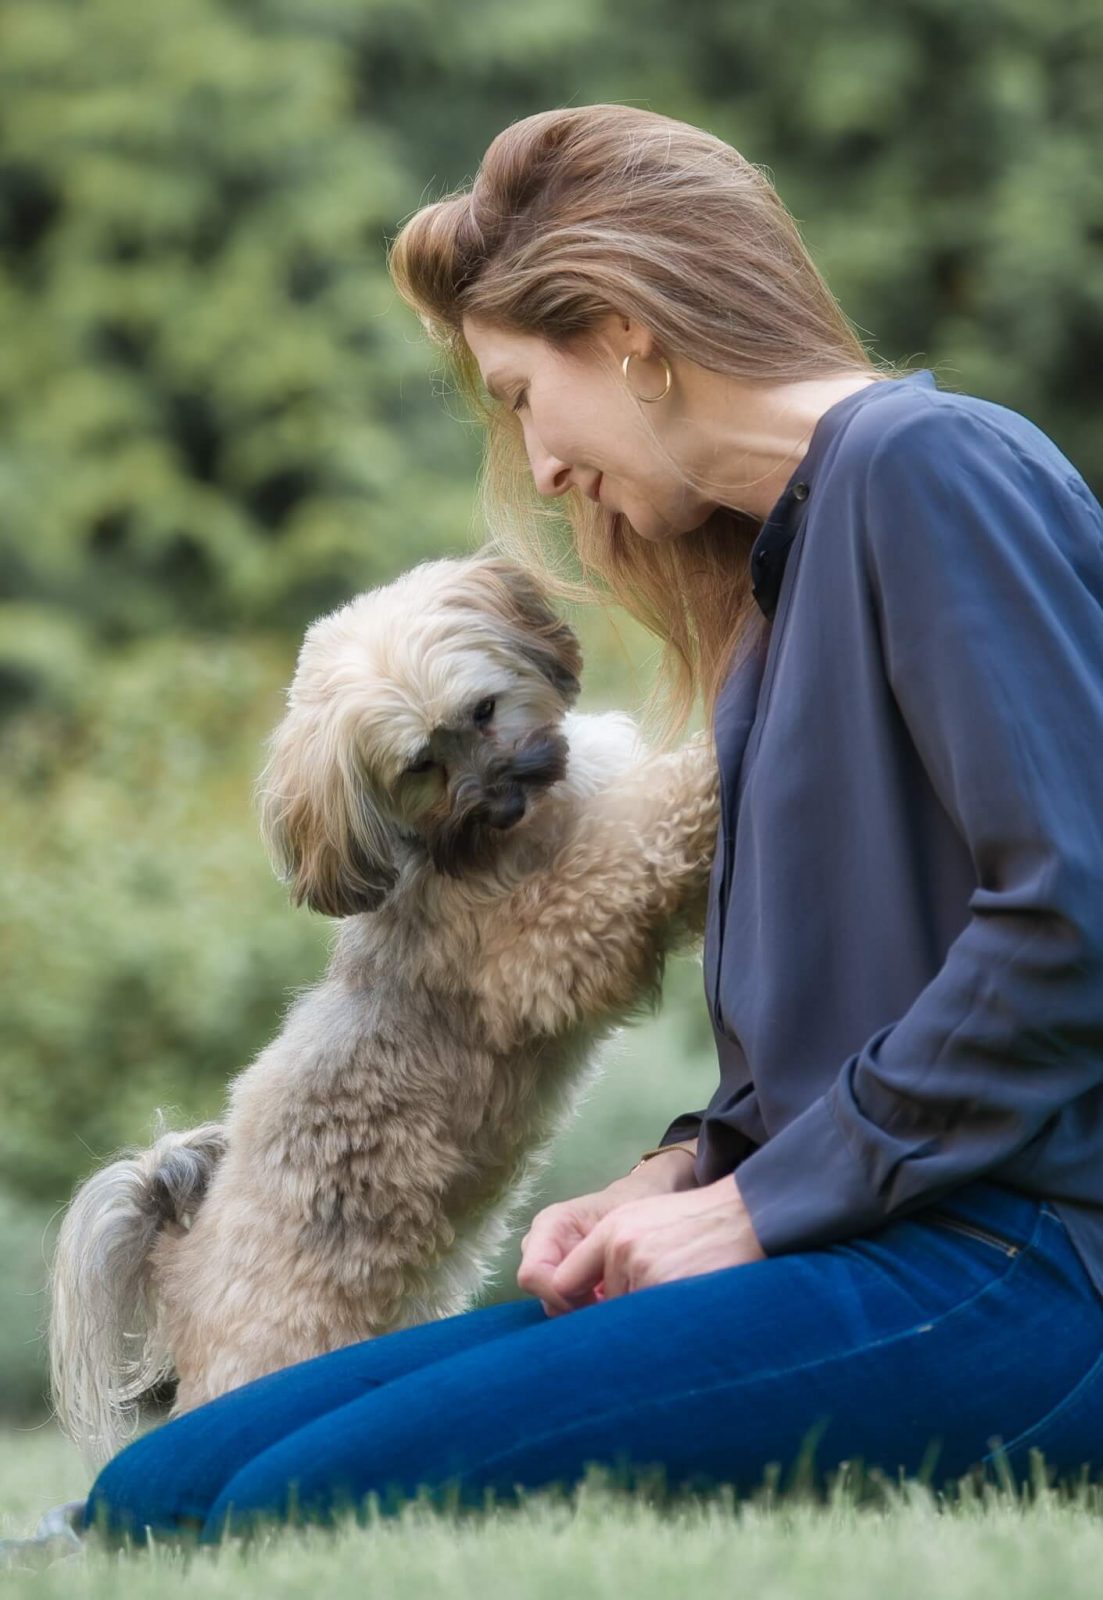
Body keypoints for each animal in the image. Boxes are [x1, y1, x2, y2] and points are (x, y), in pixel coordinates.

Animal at [51, 550, 717, 1465]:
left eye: (483, 709)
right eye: (418, 766)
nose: (501, 797)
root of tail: (179, 1261)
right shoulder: (538, 947)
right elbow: (625, 859)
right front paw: (709, 771)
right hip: (270, 1353)